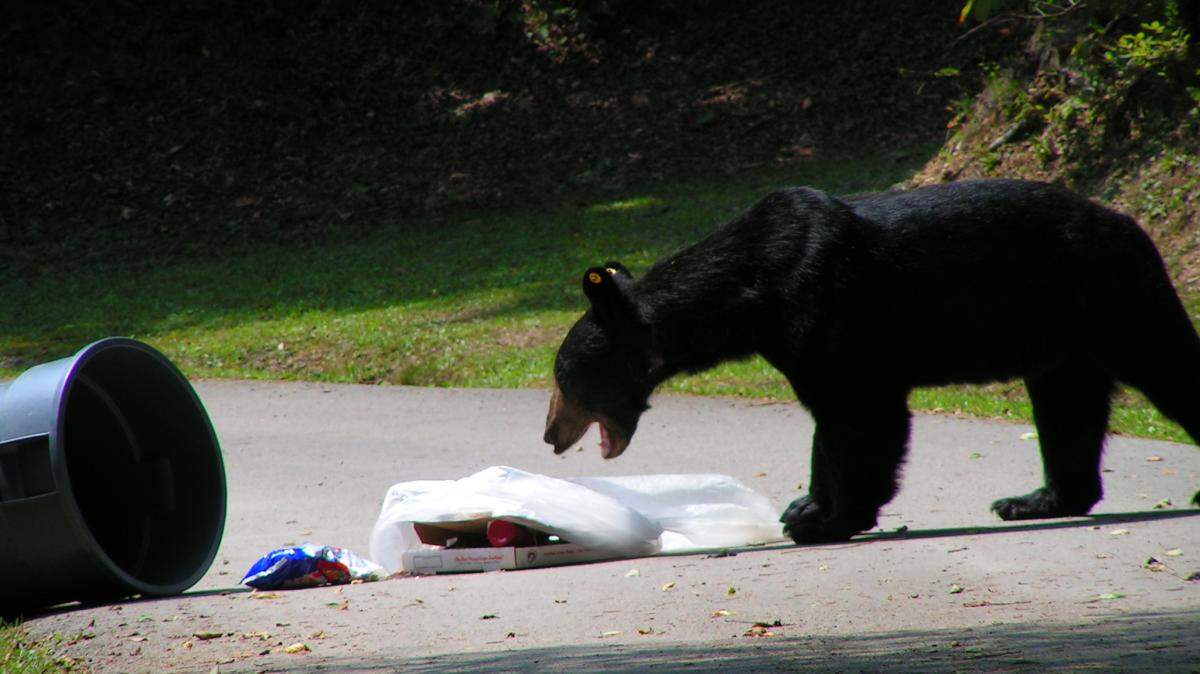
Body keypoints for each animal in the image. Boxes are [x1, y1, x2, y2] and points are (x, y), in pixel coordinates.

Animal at [542, 179, 1200, 544]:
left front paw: (829, 519)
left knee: (1168, 365)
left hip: (1113, 293)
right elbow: (827, 417)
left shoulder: (824, 301)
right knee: (1066, 405)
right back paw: (1039, 499)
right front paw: (807, 503)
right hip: (1061, 334)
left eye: (563, 376)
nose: (549, 434)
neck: (750, 291)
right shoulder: (794, 335)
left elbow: (860, 413)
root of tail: (1127, 222)